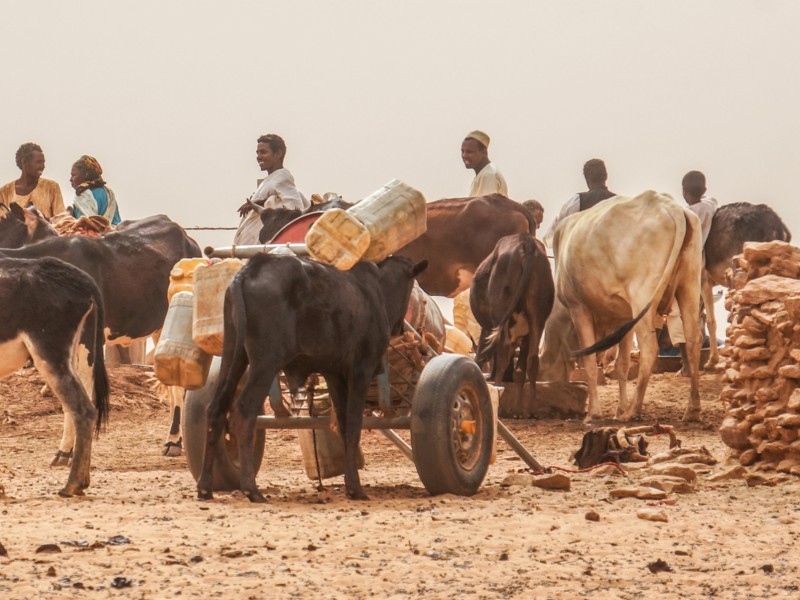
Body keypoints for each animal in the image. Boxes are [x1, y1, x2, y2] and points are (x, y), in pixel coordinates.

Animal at [198, 253, 424, 502]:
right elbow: (354, 424)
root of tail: (251, 269)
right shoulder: (361, 370)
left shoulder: (334, 374)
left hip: (233, 356)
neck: (377, 290)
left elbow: (344, 424)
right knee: (244, 409)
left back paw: (205, 486)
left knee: (216, 408)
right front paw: (355, 488)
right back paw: (251, 488)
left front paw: (350, 483)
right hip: (265, 363)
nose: (400, 328)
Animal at [472, 234, 552, 418]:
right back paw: (531, 409)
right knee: (533, 360)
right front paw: (518, 408)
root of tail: (526, 242)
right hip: (538, 317)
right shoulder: (526, 337)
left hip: (502, 317)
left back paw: (498, 399)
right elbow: (520, 371)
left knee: (502, 356)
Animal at [556, 192, 700, 422]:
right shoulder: (625, 318)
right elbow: (622, 364)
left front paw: (594, 413)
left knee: (649, 349)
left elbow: (589, 361)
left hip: (643, 296)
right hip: (689, 286)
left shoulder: (578, 309)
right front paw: (619, 409)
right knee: (694, 342)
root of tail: (669, 205)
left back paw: (633, 411)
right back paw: (692, 409)